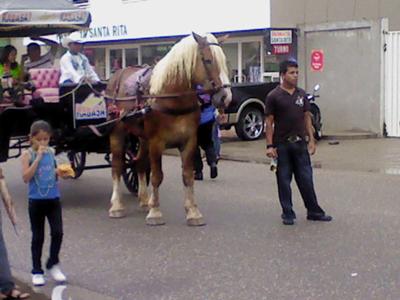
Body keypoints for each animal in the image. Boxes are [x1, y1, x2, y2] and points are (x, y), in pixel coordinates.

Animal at [106, 32, 231, 225]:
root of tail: (115, 75)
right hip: (117, 133)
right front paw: (155, 212)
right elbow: (157, 176)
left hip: (143, 138)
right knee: (117, 167)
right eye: (208, 60)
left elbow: (187, 175)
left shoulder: (189, 141)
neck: (171, 96)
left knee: (139, 164)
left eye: (224, 61)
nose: (226, 97)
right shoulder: (157, 142)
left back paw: (144, 200)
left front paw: (193, 211)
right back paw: (117, 206)